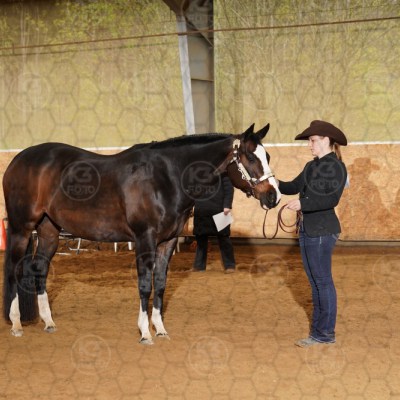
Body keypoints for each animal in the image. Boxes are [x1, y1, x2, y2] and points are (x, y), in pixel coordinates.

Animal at [2, 123, 281, 344]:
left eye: (267, 155)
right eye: (250, 157)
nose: (273, 196)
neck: (166, 177)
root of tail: (17, 161)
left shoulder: (167, 242)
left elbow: (160, 284)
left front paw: (161, 329)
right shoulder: (144, 239)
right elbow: (145, 285)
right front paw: (145, 333)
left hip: (49, 230)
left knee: (39, 267)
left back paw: (48, 322)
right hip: (21, 228)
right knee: (13, 269)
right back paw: (15, 324)